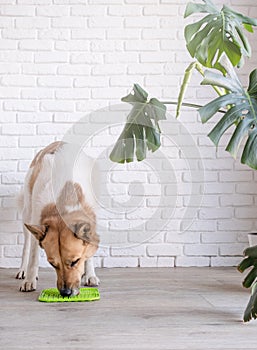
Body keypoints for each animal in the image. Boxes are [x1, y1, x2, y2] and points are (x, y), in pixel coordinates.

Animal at [16, 141, 99, 296]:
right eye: (52, 264)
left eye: (75, 261)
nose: (66, 293)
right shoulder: (37, 220)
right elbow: (33, 258)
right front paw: (29, 280)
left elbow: (89, 253)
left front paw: (90, 275)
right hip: (27, 211)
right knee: (26, 245)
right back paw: (23, 270)